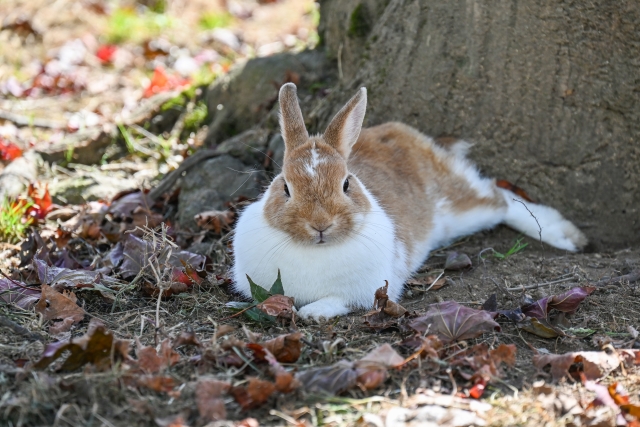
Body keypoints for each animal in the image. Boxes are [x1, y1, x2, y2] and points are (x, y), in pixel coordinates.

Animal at [232, 83, 588, 320]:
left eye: (346, 183)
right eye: (286, 188)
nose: (320, 224)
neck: (316, 251)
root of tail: (410, 134)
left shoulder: (370, 290)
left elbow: (337, 300)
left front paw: (313, 312)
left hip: (460, 210)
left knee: (498, 198)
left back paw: (565, 236)